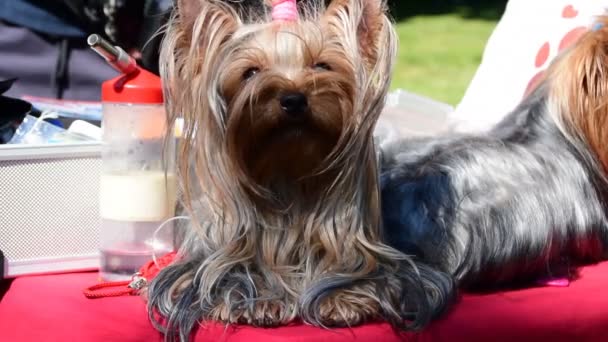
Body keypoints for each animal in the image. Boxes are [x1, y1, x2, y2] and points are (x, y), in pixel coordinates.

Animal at [146, 0, 452, 340]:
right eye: (250, 72)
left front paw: (341, 296)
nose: (293, 99)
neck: (288, 175)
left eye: (322, 66)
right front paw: (258, 299)